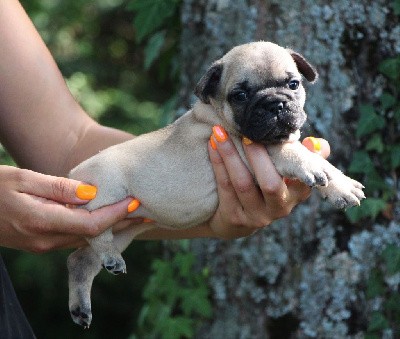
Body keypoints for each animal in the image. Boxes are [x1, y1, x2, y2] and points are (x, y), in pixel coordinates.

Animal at [66, 41, 366, 328]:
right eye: (240, 95)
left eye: (293, 84)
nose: (275, 104)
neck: (219, 116)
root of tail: (73, 173)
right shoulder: (256, 149)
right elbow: (301, 155)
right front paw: (330, 177)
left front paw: (341, 183)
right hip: (107, 196)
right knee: (96, 233)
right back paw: (111, 257)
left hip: (126, 228)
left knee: (80, 260)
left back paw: (81, 305)